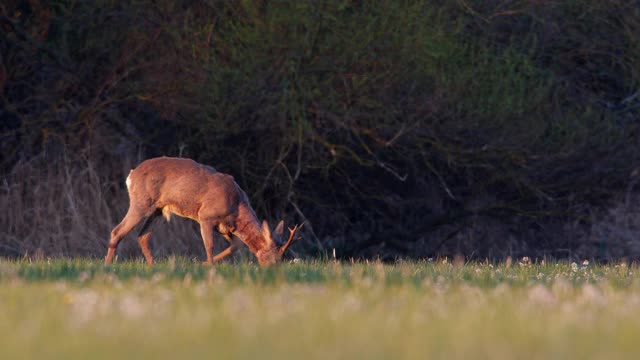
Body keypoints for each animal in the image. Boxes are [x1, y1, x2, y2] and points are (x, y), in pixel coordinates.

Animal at [104, 156, 304, 266]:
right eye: (273, 256)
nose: (274, 270)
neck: (236, 205)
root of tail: (131, 174)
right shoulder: (206, 216)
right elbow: (209, 245)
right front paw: (209, 266)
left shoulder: (225, 227)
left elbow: (236, 246)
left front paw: (203, 263)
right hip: (141, 203)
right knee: (117, 231)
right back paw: (107, 266)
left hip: (158, 210)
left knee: (143, 235)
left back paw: (153, 266)